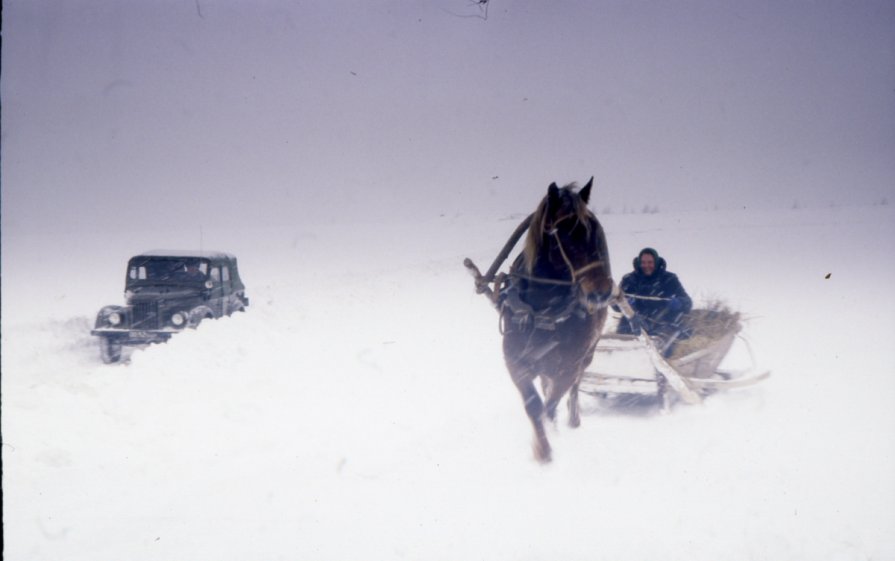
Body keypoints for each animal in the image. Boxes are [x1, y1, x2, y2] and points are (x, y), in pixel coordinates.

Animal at [500, 177, 620, 462]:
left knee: (573, 388)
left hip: (585, 357)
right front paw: (542, 452)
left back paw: (573, 420)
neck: (543, 309)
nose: (601, 292)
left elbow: (551, 405)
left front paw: (547, 445)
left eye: (595, 231)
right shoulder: (515, 362)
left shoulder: (568, 367)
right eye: (565, 234)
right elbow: (534, 406)